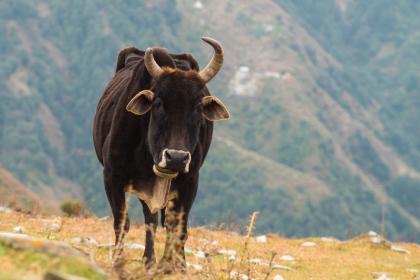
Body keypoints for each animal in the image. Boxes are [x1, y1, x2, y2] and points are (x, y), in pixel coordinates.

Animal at [93, 36, 230, 272]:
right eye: (158, 103)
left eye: (197, 107)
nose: (176, 157)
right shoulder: (112, 177)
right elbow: (122, 222)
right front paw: (119, 263)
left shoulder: (190, 182)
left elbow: (177, 227)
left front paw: (174, 267)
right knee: (150, 220)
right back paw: (148, 261)